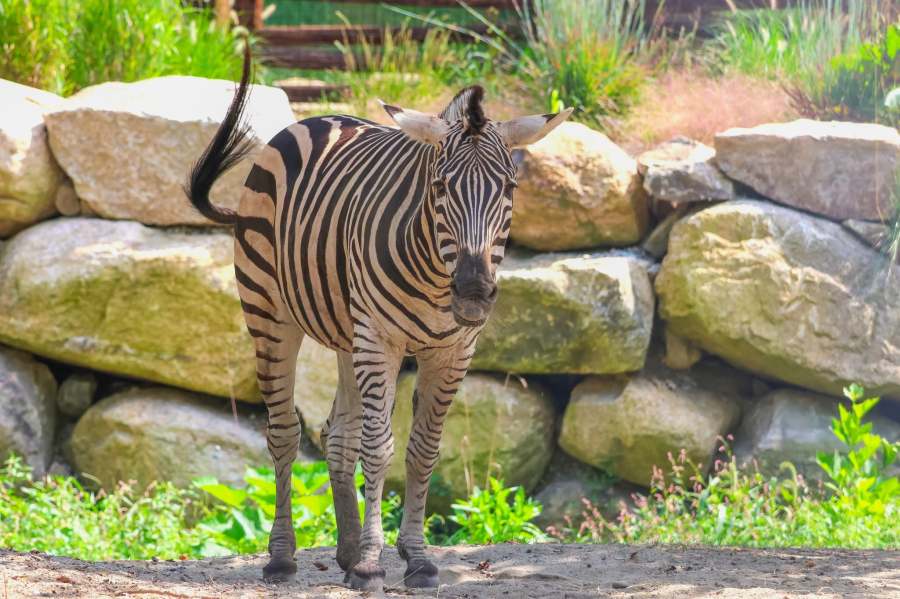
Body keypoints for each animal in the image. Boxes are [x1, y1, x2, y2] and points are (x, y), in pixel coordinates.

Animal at [186, 46, 571, 591]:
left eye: (510, 188)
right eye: (440, 187)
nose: (474, 292)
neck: (436, 276)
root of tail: (318, 119)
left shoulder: (453, 351)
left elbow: (422, 449)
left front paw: (416, 557)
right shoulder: (381, 340)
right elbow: (379, 447)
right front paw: (372, 561)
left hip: (349, 336)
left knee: (336, 435)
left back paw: (345, 551)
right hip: (272, 311)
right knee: (284, 431)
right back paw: (283, 557)